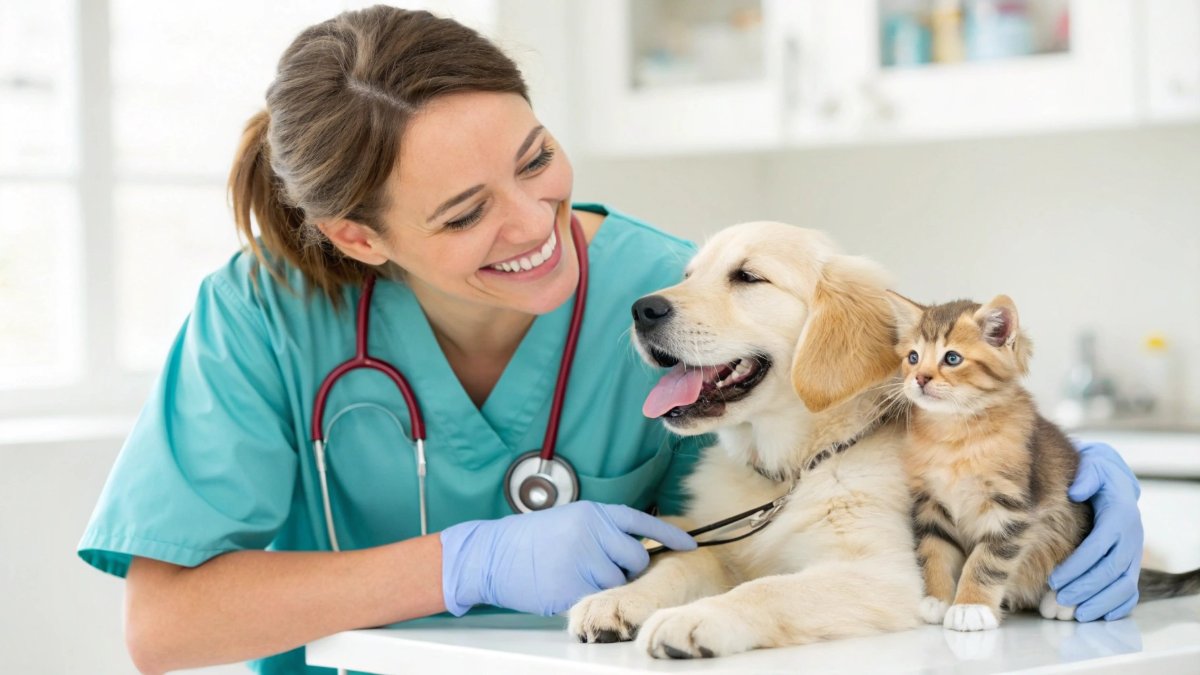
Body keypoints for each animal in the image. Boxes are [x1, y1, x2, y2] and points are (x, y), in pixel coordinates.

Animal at [566, 220, 921, 658]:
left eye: (748, 277)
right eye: (689, 275)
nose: (641, 310)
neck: (791, 471)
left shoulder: (884, 573)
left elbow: (770, 587)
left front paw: (695, 617)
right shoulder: (721, 546)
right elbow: (684, 562)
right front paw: (620, 598)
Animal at [888, 291, 1200, 629]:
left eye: (952, 358)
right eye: (913, 357)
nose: (920, 378)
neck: (954, 434)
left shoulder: (1010, 510)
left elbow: (986, 562)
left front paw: (971, 604)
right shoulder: (930, 506)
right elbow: (934, 551)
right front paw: (938, 598)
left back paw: (1064, 602)